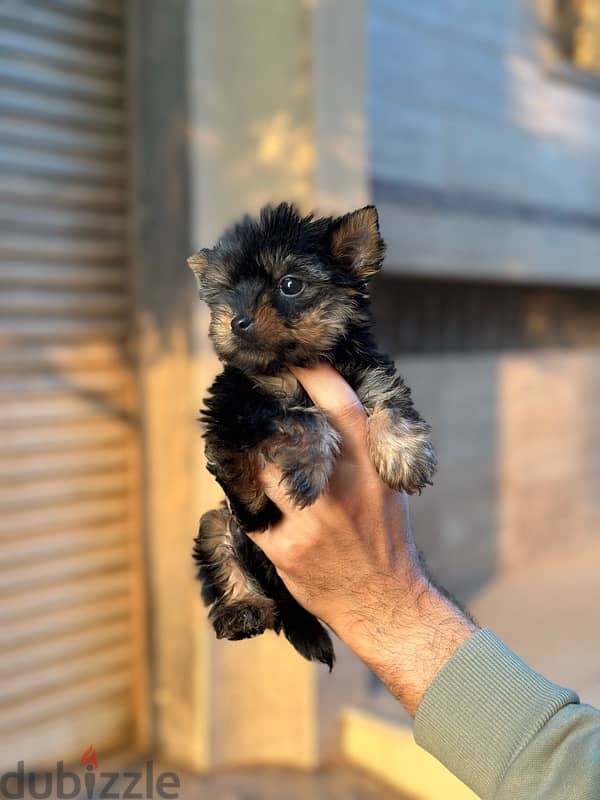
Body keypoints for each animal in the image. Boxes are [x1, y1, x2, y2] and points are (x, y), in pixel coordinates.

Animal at [189, 203, 436, 664]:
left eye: (290, 285)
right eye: (226, 292)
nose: (236, 321)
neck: (293, 364)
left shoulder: (367, 369)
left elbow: (388, 398)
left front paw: (403, 455)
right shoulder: (236, 403)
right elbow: (300, 418)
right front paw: (306, 467)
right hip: (219, 522)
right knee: (223, 544)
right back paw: (242, 607)